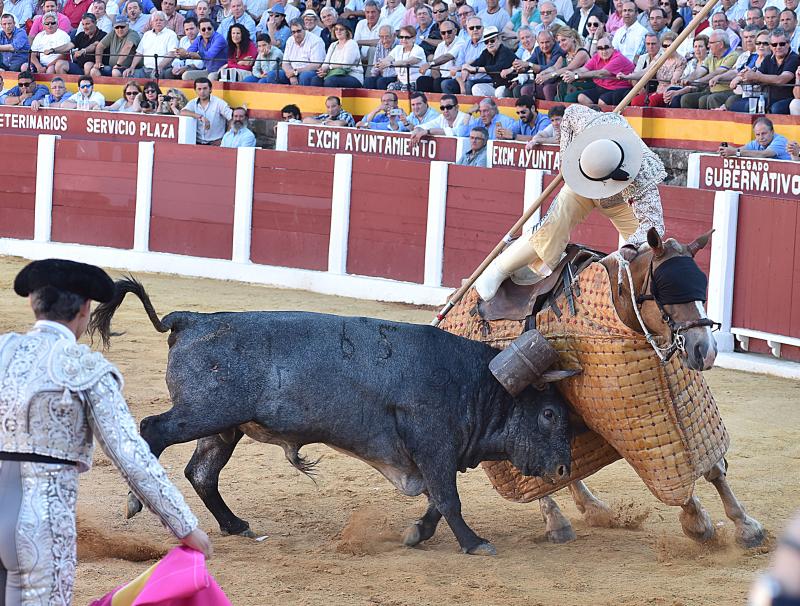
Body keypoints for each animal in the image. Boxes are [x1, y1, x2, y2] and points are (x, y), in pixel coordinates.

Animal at [90, 280, 580, 556]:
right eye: (549, 414)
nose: (563, 468)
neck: (476, 383)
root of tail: (192, 319)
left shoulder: (436, 455)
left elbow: (436, 502)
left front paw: (418, 534)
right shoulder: (433, 444)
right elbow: (448, 499)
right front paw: (475, 543)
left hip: (224, 427)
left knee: (202, 472)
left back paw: (236, 525)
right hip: (203, 413)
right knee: (152, 430)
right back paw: (137, 500)